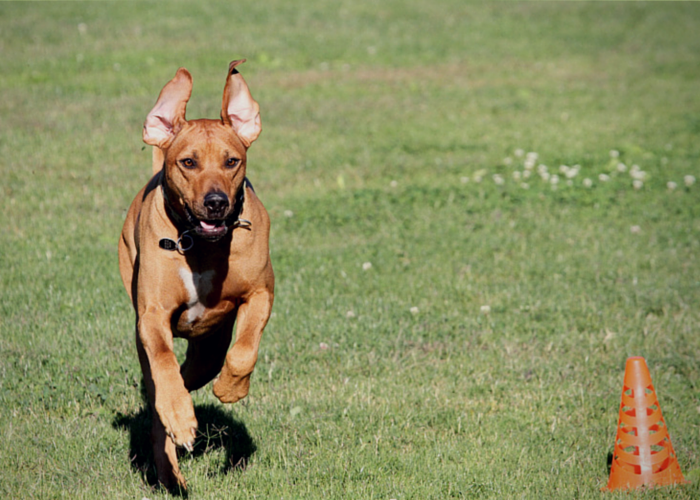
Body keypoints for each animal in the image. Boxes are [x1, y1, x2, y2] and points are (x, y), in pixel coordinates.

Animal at [117, 60, 274, 490]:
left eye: (231, 161)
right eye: (188, 162)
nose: (216, 202)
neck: (201, 245)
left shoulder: (261, 292)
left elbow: (245, 348)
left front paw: (231, 389)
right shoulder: (152, 316)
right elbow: (164, 365)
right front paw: (180, 417)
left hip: (208, 350)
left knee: (194, 373)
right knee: (161, 389)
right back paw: (171, 454)